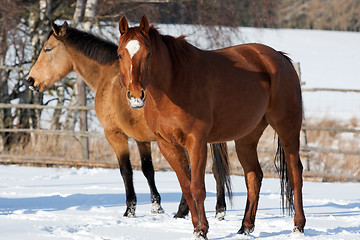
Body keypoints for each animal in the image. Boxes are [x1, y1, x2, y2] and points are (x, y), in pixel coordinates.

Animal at [26, 21, 232, 220]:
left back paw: (184, 211)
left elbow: (126, 170)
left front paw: (130, 210)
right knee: (214, 170)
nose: (30, 80)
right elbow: (148, 170)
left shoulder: (115, 135)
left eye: (47, 49)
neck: (107, 76)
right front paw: (156, 206)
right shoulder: (142, 139)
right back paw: (219, 210)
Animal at [116, 15, 306, 239]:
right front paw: (196, 228)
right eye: (120, 54)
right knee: (254, 176)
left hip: (287, 128)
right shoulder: (167, 145)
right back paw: (245, 227)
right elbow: (186, 187)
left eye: (148, 53)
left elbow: (197, 188)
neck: (175, 82)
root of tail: (280, 58)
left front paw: (202, 231)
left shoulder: (197, 142)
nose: (136, 95)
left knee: (295, 174)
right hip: (246, 138)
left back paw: (298, 227)